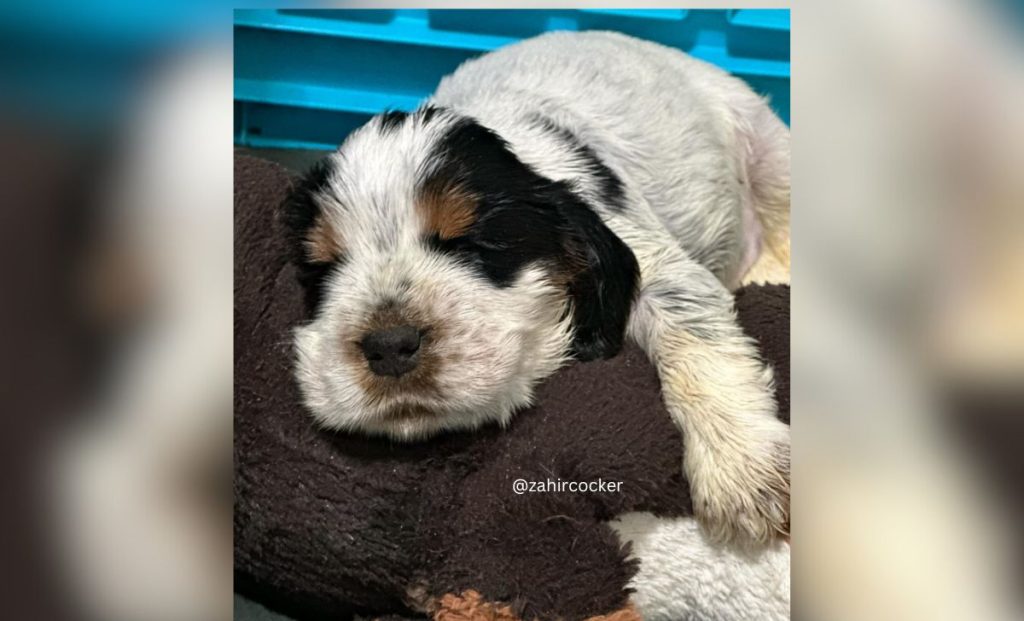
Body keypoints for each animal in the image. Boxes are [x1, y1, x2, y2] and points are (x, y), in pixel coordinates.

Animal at [284, 32, 794, 545]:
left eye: (475, 246)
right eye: (324, 269)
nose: (388, 346)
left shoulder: (656, 263)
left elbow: (695, 340)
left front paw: (744, 469)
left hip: (771, 153)